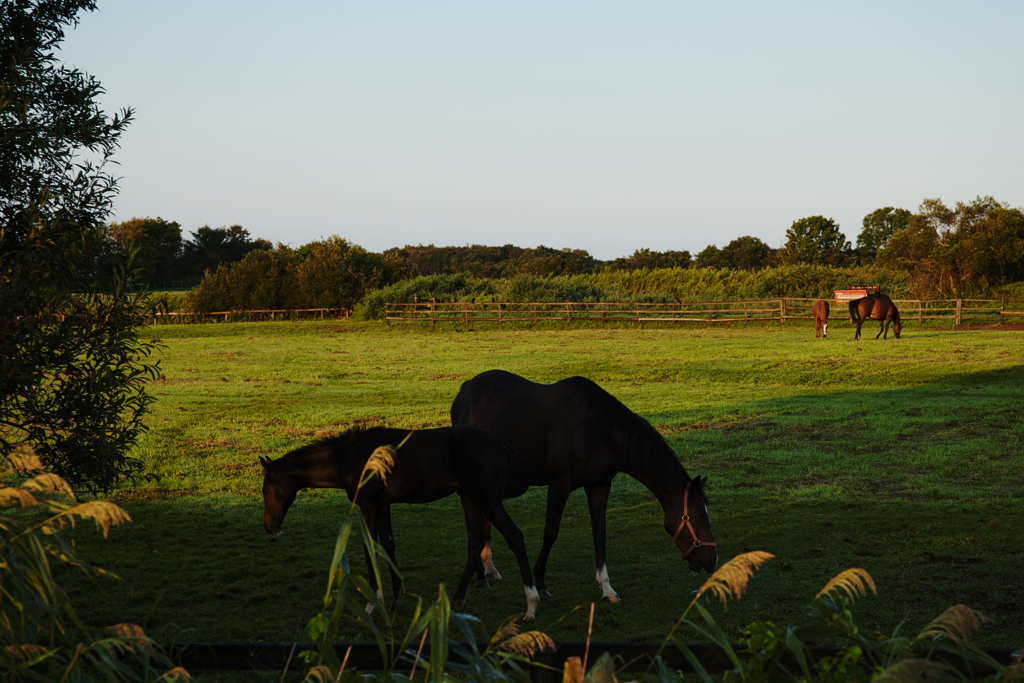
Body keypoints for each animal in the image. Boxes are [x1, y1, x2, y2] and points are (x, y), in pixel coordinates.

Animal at [260, 428, 540, 618]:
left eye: (264, 489)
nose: (269, 527)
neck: (353, 457)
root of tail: (500, 443)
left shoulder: (367, 504)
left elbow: (370, 547)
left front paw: (372, 602)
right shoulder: (383, 505)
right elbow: (387, 545)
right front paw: (396, 599)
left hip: (488, 500)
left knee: (515, 536)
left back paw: (531, 605)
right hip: (470, 498)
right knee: (475, 542)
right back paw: (457, 600)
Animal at [452, 370, 716, 602]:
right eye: (699, 515)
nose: (711, 561)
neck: (599, 429)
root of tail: (466, 388)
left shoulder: (599, 485)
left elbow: (599, 533)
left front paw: (606, 587)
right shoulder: (559, 484)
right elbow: (550, 532)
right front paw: (540, 582)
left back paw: (489, 569)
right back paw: (480, 577)